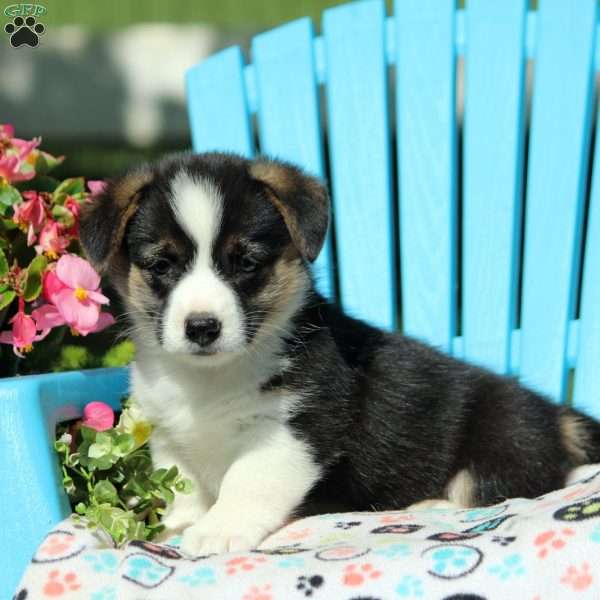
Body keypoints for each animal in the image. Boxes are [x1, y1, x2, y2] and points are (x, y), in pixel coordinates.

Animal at [79, 152, 600, 556]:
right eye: (161, 264)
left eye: (246, 262)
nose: (202, 327)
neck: (210, 377)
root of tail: (555, 416)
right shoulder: (170, 435)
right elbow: (181, 487)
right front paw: (179, 524)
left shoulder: (294, 429)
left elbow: (245, 482)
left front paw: (217, 531)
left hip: (500, 437)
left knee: (500, 489)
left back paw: (431, 505)